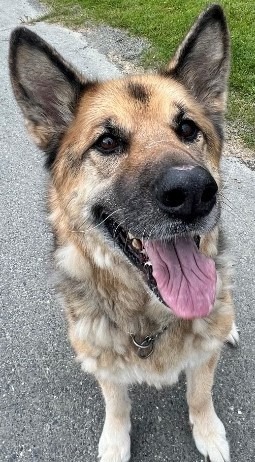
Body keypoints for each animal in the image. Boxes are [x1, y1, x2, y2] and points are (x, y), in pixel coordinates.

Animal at [8, 4, 239, 462]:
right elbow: (117, 403)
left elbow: (200, 394)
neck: (148, 321)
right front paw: (115, 442)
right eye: (107, 142)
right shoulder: (101, 361)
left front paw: (208, 433)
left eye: (188, 130)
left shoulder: (204, 354)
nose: (193, 192)